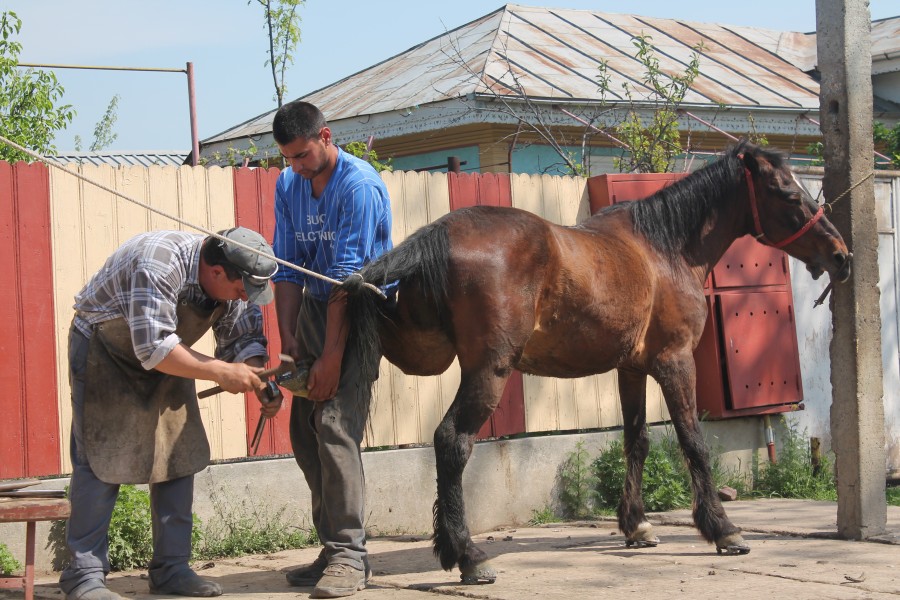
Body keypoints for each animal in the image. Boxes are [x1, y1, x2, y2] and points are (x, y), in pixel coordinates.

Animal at [338, 141, 852, 580]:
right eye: (788, 193)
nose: (841, 255)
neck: (664, 249)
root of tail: (438, 236)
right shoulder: (675, 362)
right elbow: (693, 442)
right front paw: (722, 528)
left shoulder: (632, 368)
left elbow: (636, 441)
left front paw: (637, 525)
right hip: (488, 371)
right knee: (452, 442)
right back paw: (467, 554)